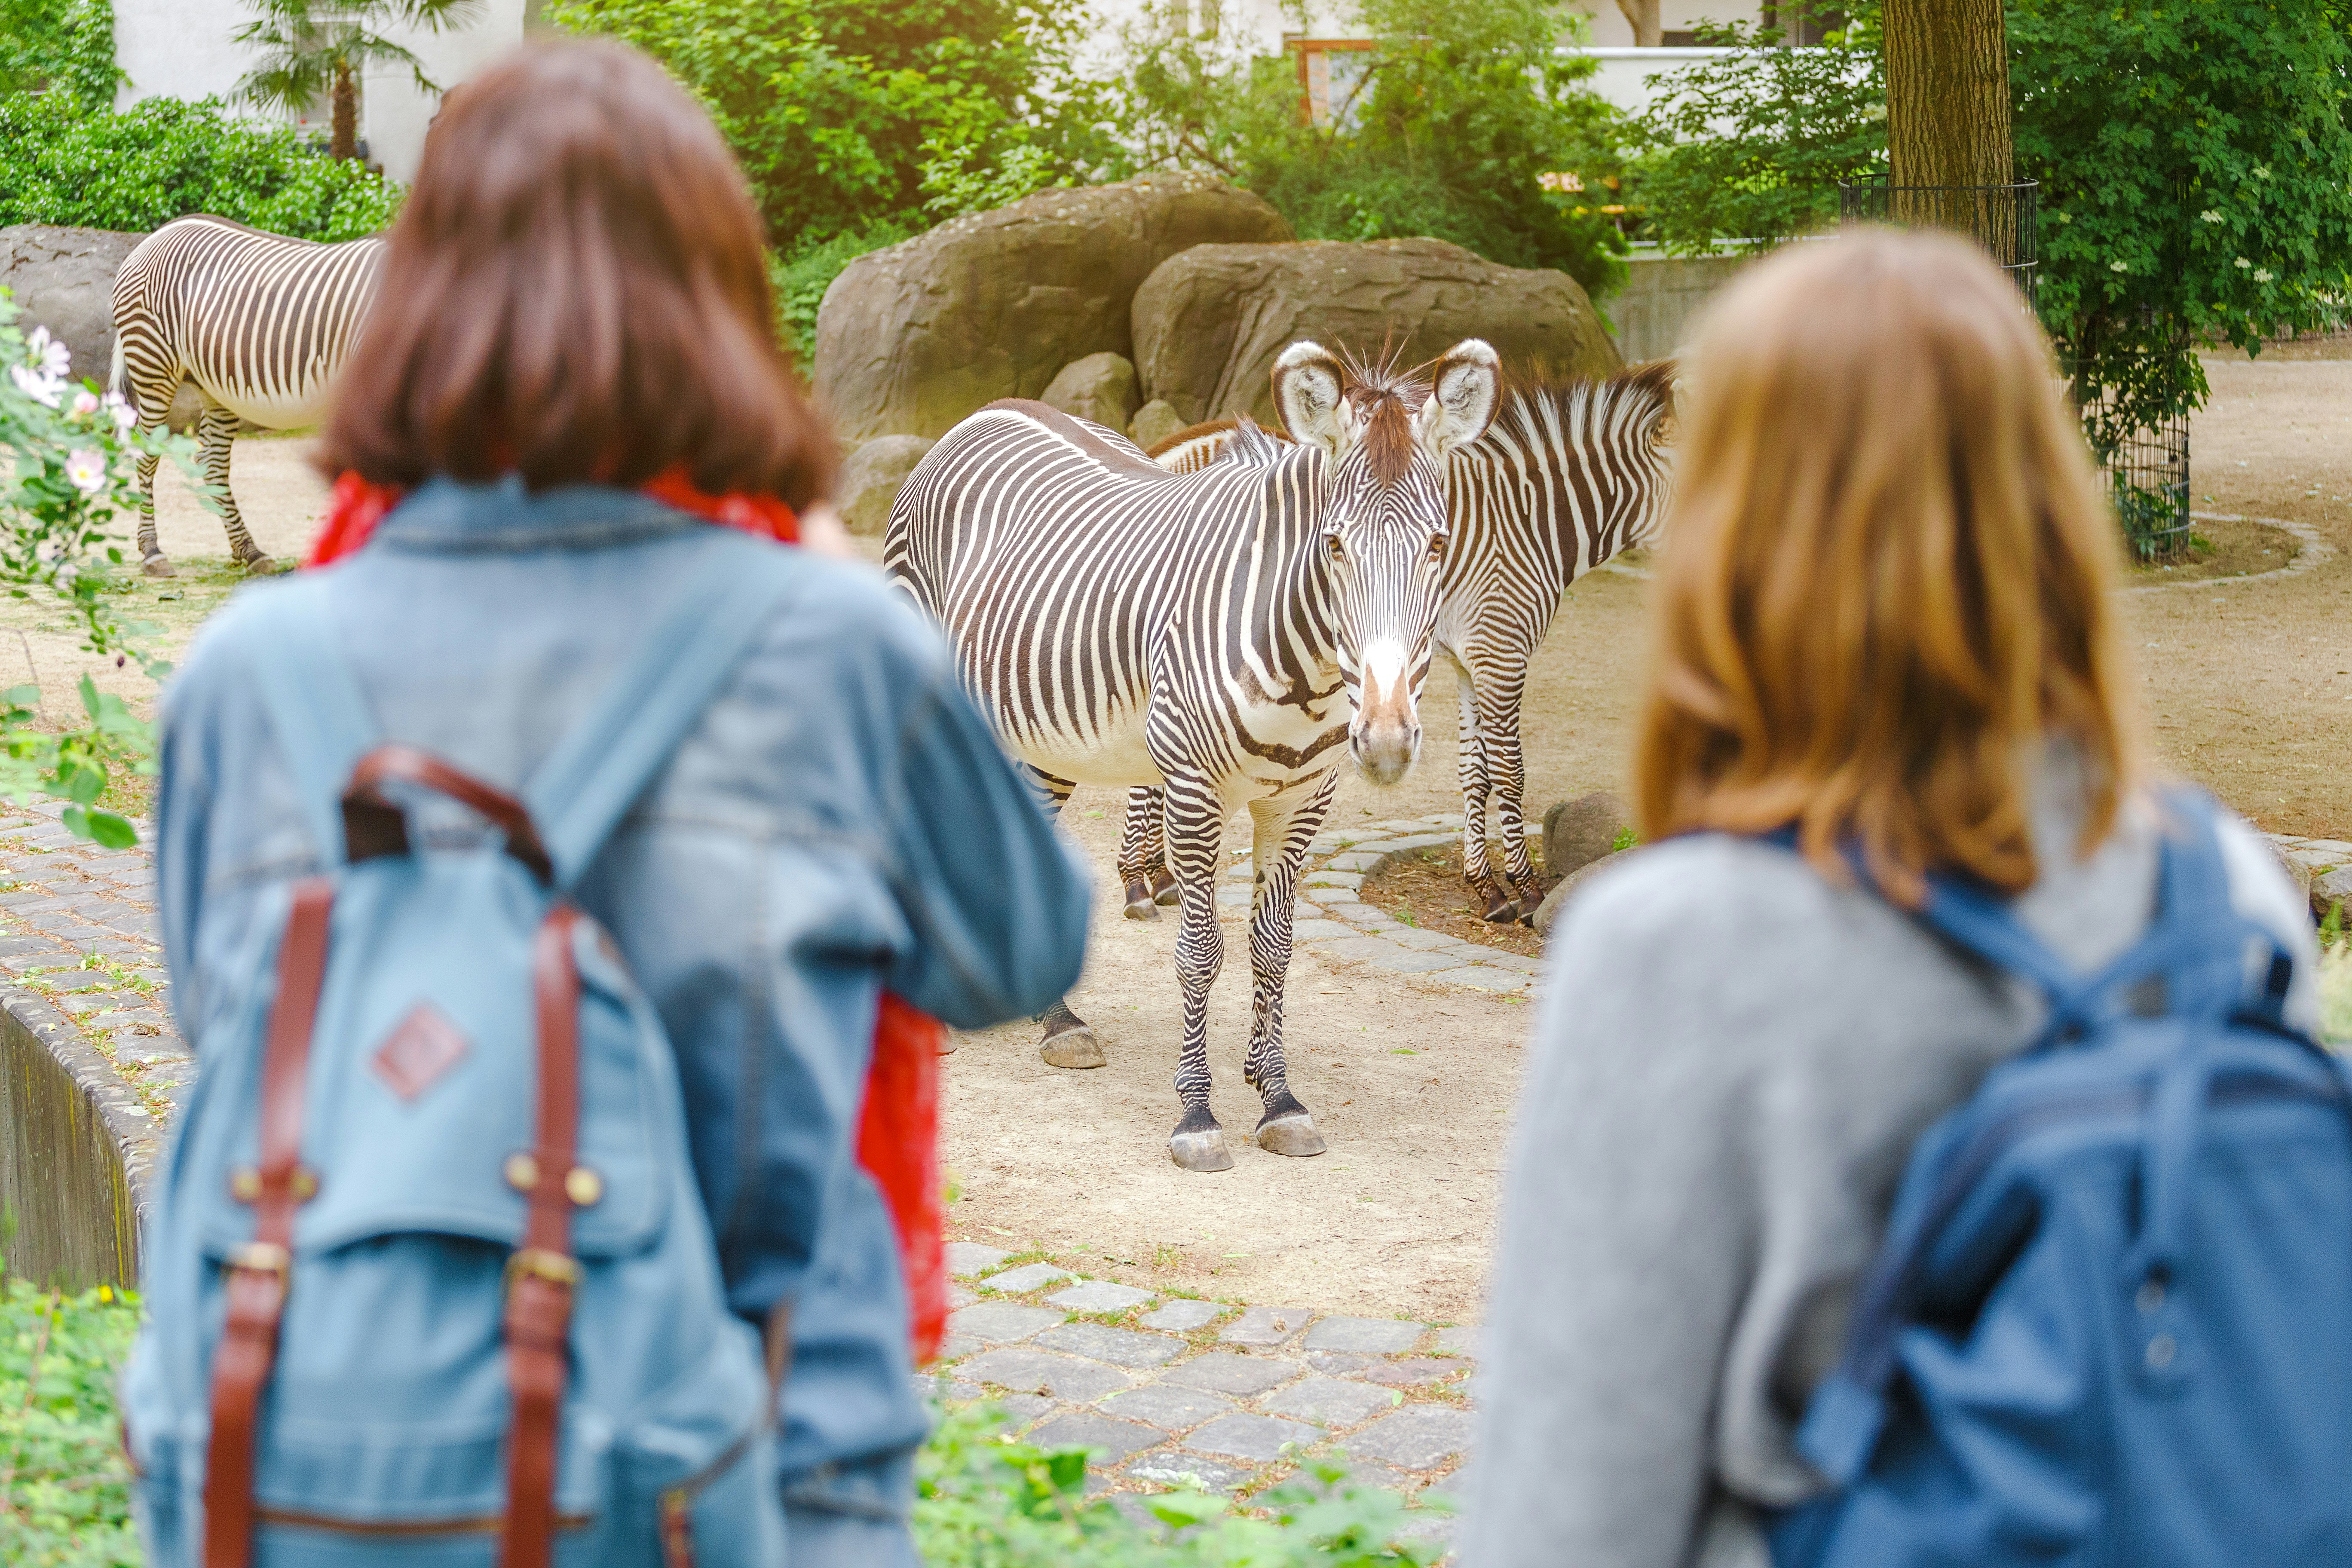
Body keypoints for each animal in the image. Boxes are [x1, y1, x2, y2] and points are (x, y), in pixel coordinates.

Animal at [110, 214, 386, 575]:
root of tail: (159, 233)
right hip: (152, 363)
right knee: (147, 455)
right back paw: (153, 552)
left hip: (213, 386)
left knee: (212, 462)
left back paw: (249, 551)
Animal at [886, 339, 1502, 1172]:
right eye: (1334, 545)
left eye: (1437, 545)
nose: (1382, 739)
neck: (1307, 666)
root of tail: (984, 411)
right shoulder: (1190, 789)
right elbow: (1201, 950)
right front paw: (1197, 1113)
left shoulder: (1301, 799)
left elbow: (1273, 949)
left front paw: (1278, 1099)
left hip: (1039, 737)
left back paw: (1056, 1019)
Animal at [1121, 361, 1678, 923]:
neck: (1528, 520)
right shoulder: (1501, 649)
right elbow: (1510, 769)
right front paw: (1525, 891)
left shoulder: (1469, 662)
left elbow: (1474, 771)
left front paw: (1486, 888)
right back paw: (1140, 884)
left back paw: (1155, 878)